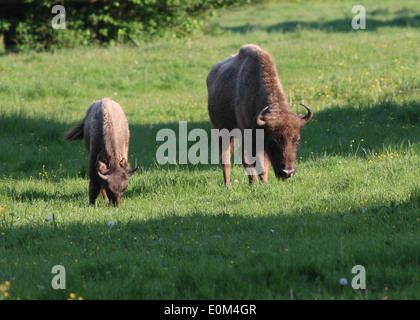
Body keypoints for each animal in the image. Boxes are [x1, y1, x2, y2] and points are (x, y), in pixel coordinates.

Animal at [206, 43, 312, 186]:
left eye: (297, 140)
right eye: (273, 142)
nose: (287, 172)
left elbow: (264, 164)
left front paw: (264, 182)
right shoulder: (249, 136)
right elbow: (250, 159)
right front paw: (255, 183)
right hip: (221, 129)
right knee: (226, 158)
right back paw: (228, 185)